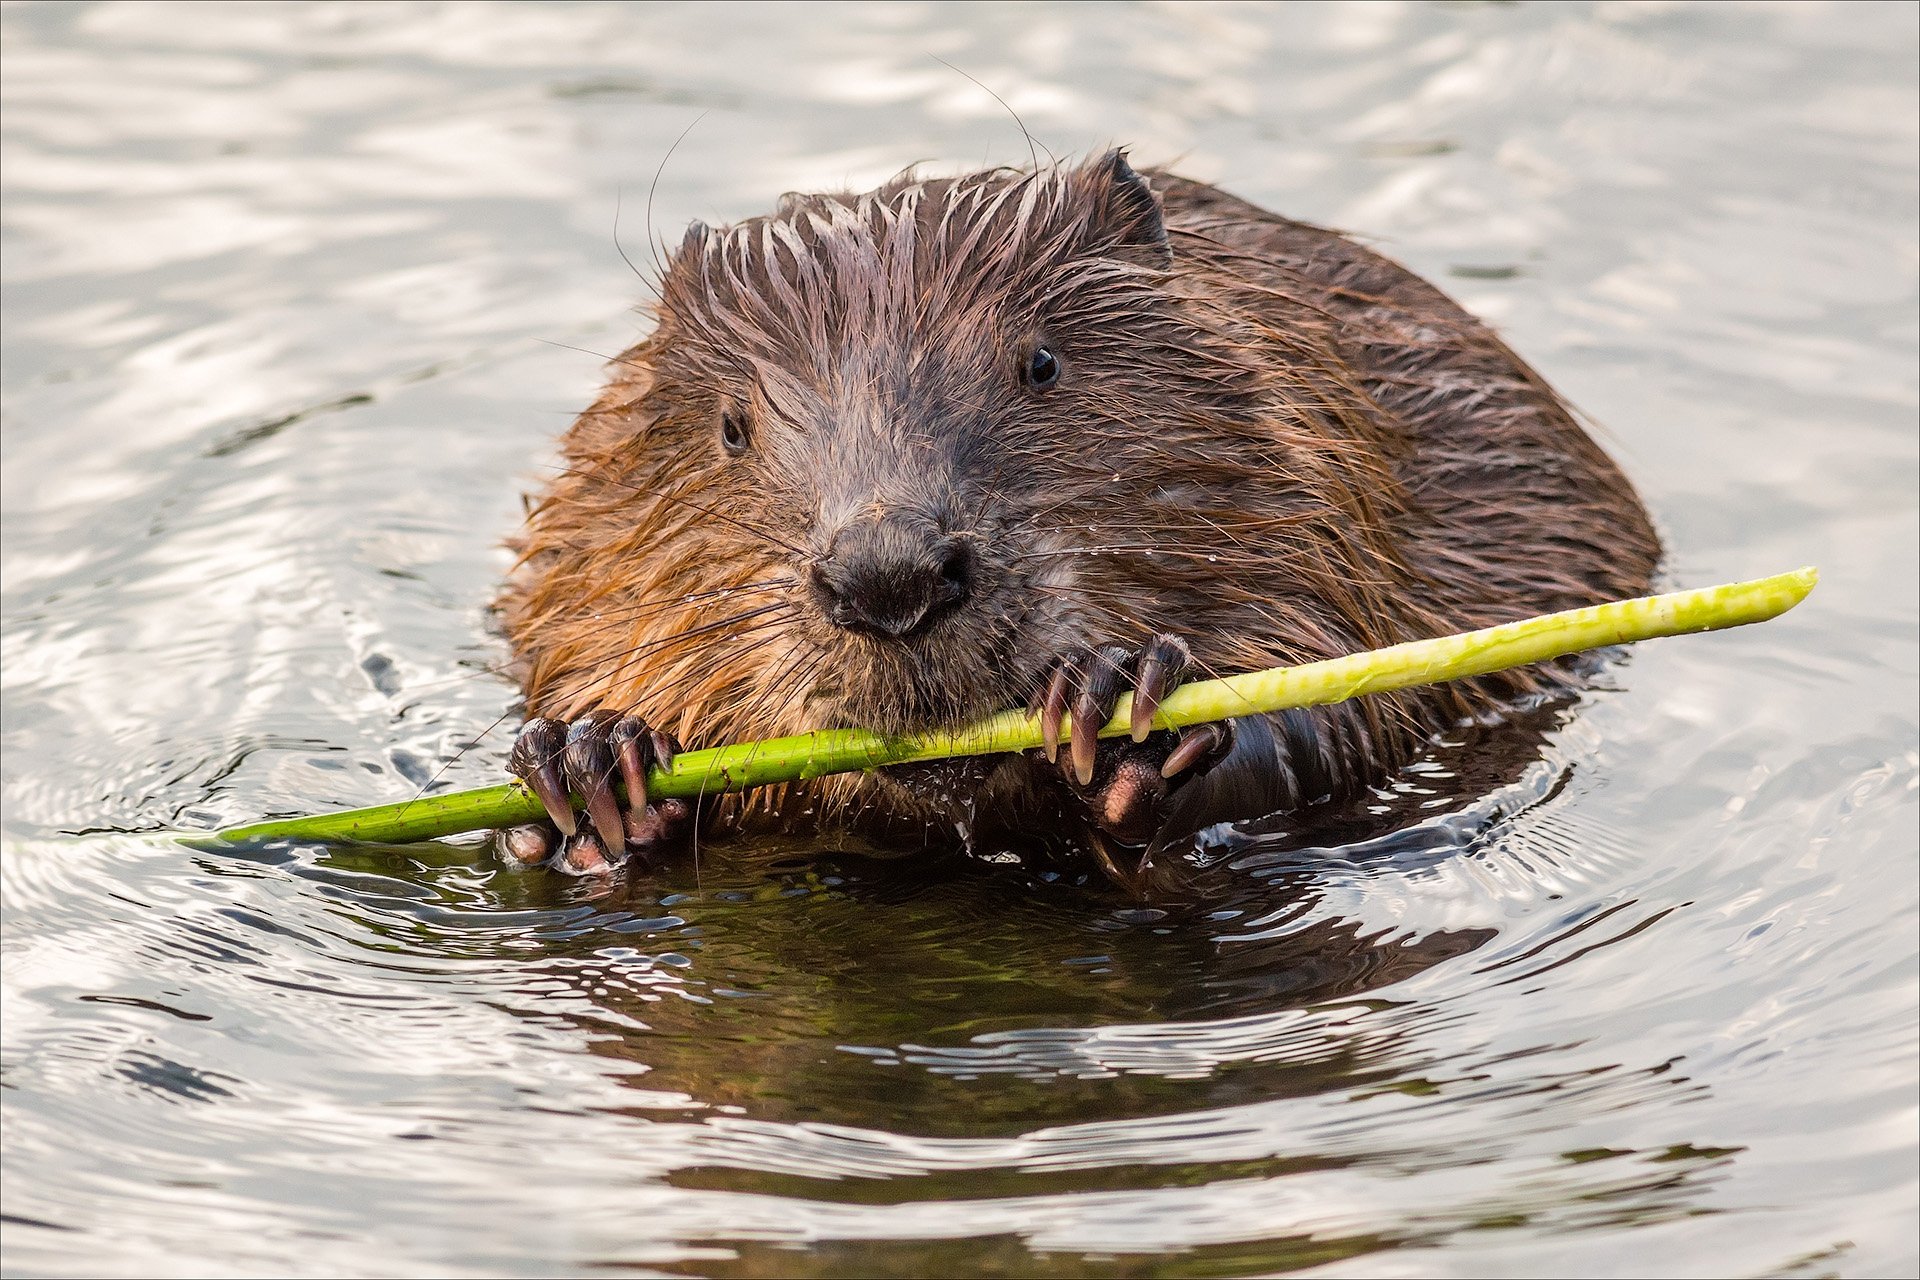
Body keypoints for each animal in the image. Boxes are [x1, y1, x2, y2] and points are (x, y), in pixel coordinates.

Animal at [495, 152, 1666, 882]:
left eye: (1043, 363)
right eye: (733, 425)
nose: (888, 577)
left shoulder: (1342, 487)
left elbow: (1341, 699)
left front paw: (1126, 706)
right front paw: (594, 765)